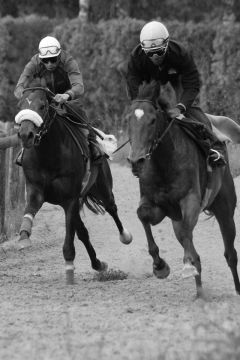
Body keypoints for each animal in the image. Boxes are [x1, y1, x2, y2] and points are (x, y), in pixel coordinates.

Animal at [14, 79, 132, 284]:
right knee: (83, 232)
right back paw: (98, 264)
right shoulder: (37, 190)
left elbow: (69, 238)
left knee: (112, 208)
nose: (25, 134)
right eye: (21, 105)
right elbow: (29, 211)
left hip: (102, 188)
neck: (49, 155)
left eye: (42, 106)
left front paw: (69, 268)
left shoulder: (69, 198)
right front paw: (24, 238)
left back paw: (125, 236)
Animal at [126, 82, 239, 298]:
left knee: (230, 253)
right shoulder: (156, 205)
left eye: (153, 120)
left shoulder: (191, 200)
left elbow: (187, 231)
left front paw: (187, 266)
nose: (137, 161)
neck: (164, 163)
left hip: (225, 209)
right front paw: (160, 266)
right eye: (127, 120)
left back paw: (236, 290)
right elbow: (142, 215)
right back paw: (199, 292)